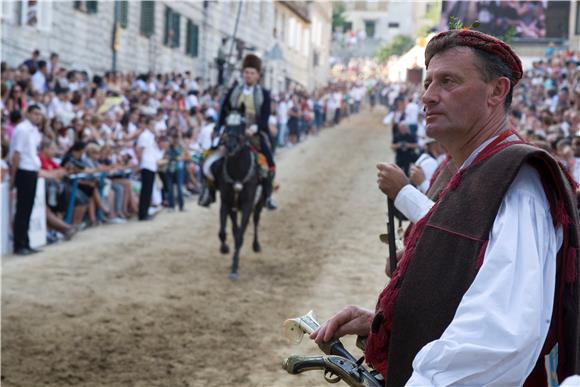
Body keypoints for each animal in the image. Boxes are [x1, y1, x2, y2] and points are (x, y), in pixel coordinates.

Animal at [212, 109, 266, 282]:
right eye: (227, 125)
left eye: (242, 126)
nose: (231, 146)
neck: (237, 171)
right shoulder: (227, 203)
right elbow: (223, 232)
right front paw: (225, 248)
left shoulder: (248, 204)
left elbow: (240, 236)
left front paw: (234, 269)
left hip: (260, 202)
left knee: (256, 220)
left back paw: (256, 245)